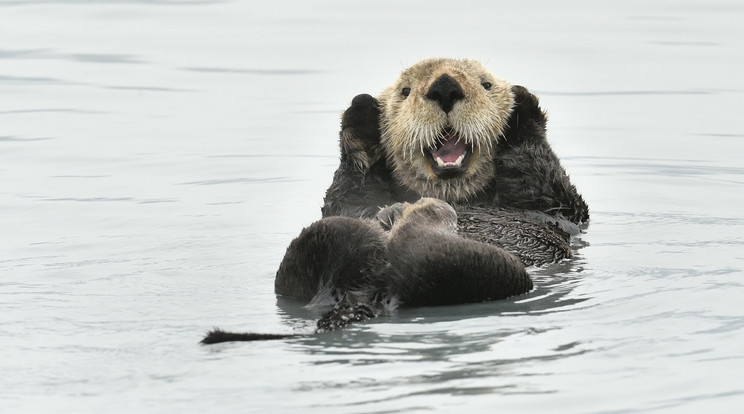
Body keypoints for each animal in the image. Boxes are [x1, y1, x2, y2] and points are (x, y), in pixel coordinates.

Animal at [322, 57, 588, 266]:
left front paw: (522, 106)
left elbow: (550, 187)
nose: (445, 86)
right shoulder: (349, 203)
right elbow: (348, 197)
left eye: (486, 85)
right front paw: (362, 113)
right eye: (405, 91)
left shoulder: (563, 210)